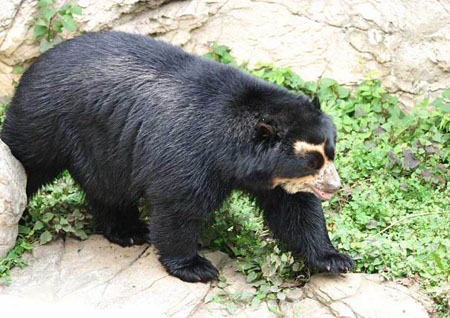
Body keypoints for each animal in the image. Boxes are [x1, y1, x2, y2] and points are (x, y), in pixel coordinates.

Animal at [1, 31, 354, 282]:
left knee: (108, 189)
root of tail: (36, 63)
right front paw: (196, 267)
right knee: (28, 161)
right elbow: (178, 206)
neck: (232, 149)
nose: (335, 187)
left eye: (330, 154)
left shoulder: (270, 179)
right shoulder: (189, 153)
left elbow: (295, 211)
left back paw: (127, 230)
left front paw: (334, 259)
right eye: (311, 162)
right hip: (46, 122)